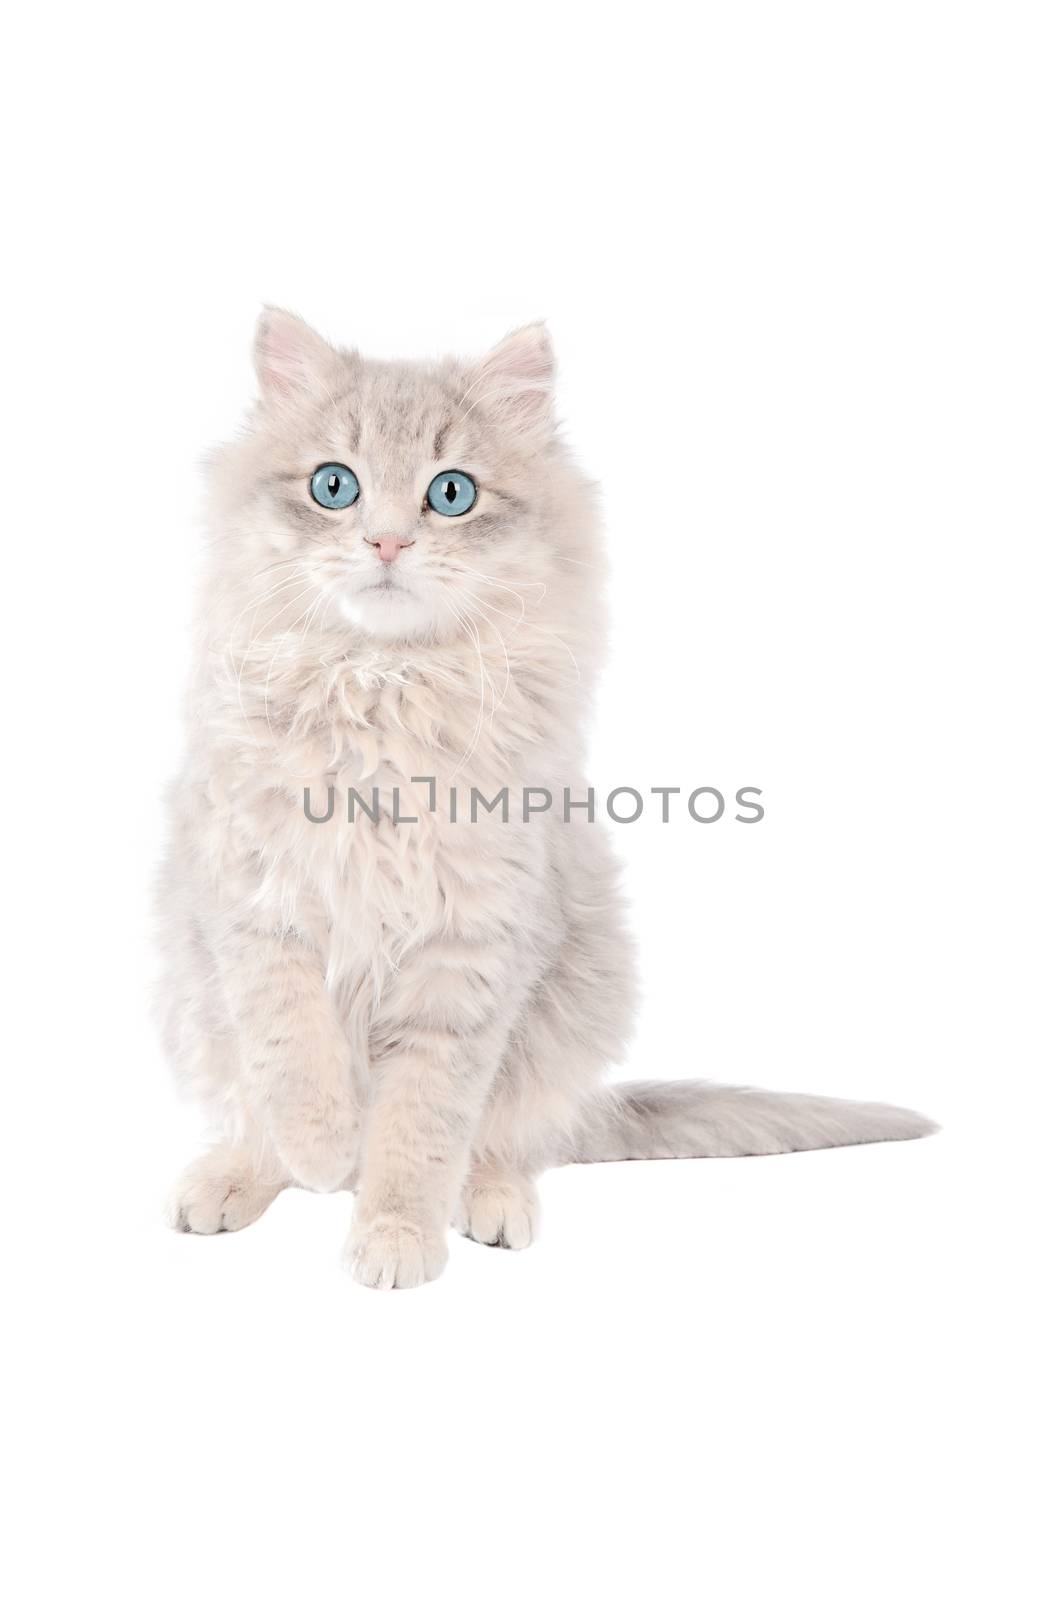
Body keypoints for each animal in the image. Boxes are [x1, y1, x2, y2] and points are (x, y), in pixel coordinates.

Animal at [160, 308, 941, 1286]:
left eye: (451, 493)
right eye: (333, 486)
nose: (386, 545)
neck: (385, 691)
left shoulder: (470, 949)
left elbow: (420, 1126)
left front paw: (394, 1236)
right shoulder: (256, 913)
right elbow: (293, 1059)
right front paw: (324, 1150)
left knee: (505, 1139)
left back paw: (490, 1203)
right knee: (254, 1113)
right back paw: (233, 1180)